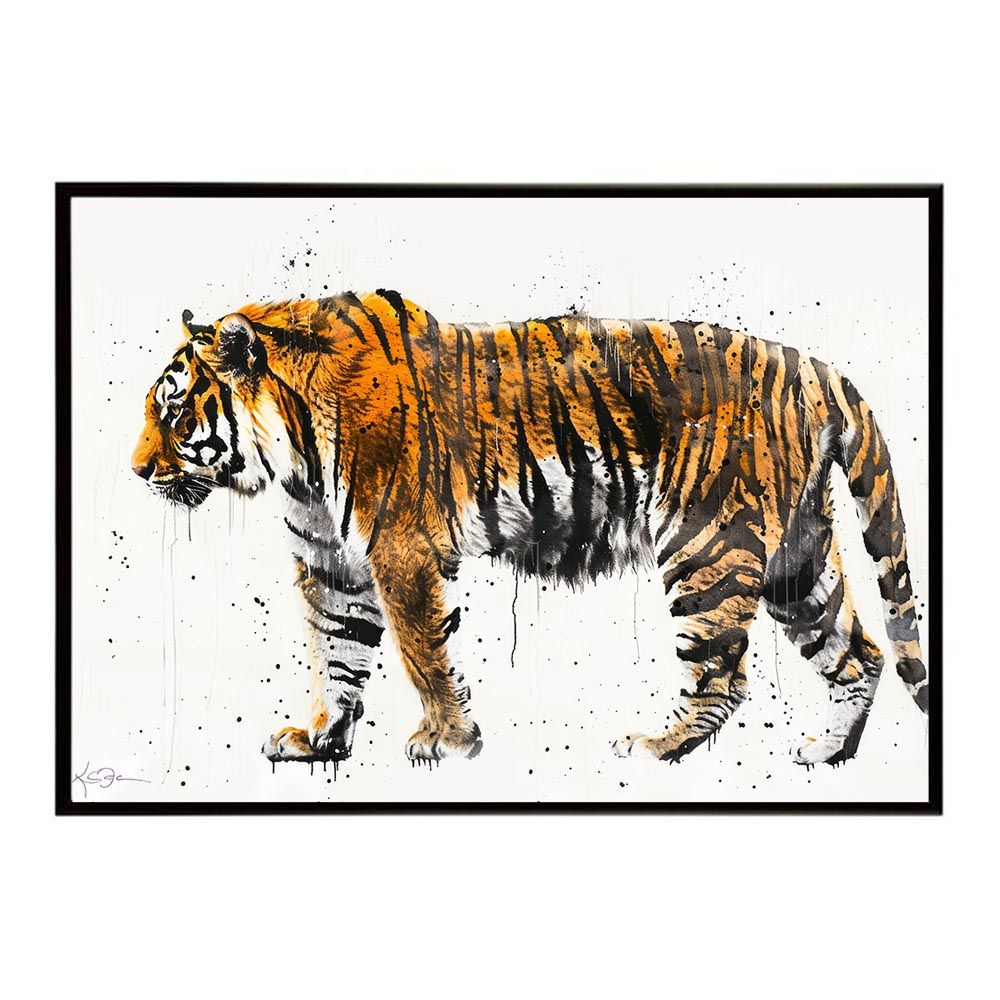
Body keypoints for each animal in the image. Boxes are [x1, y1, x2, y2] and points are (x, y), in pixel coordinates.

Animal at [131, 290, 928, 769]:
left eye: (172, 410)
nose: (137, 471)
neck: (291, 452)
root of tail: (814, 368)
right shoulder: (335, 563)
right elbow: (335, 652)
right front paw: (320, 738)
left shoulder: (399, 552)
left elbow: (421, 653)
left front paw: (447, 741)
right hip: (797, 556)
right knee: (858, 653)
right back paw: (826, 754)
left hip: (709, 545)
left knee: (723, 674)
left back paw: (652, 746)